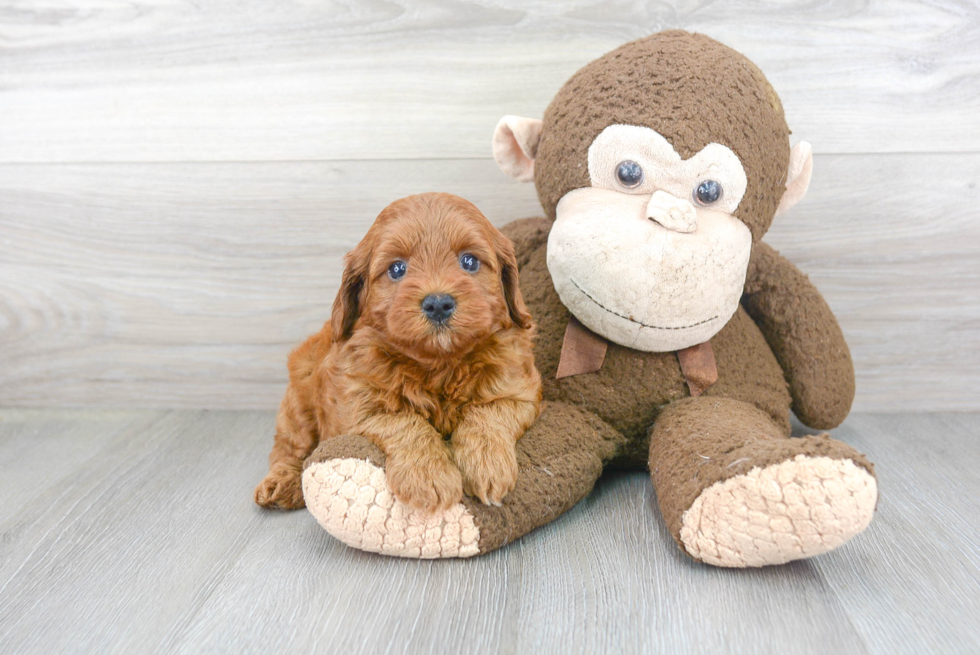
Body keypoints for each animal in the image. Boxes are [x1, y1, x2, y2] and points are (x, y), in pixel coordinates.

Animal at [253, 192, 544, 516]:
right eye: (397, 269)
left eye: (469, 261)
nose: (438, 303)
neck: (438, 364)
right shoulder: (356, 406)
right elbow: (404, 423)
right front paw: (429, 477)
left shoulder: (518, 389)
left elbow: (488, 414)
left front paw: (487, 464)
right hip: (299, 398)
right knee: (289, 448)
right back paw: (281, 484)